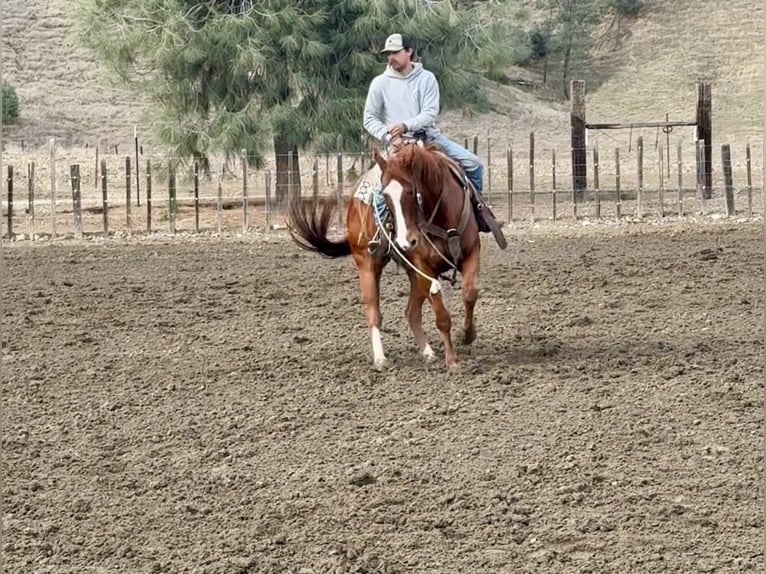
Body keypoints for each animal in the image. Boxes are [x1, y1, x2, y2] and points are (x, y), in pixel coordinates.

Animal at [287, 142, 501, 369]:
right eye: (386, 196)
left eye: (411, 191)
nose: (406, 241)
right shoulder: (425, 267)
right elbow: (441, 316)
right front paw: (452, 360)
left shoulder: (471, 253)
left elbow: (470, 293)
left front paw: (467, 335)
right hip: (367, 264)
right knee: (374, 311)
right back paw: (381, 359)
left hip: (413, 273)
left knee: (411, 312)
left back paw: (427, 352)